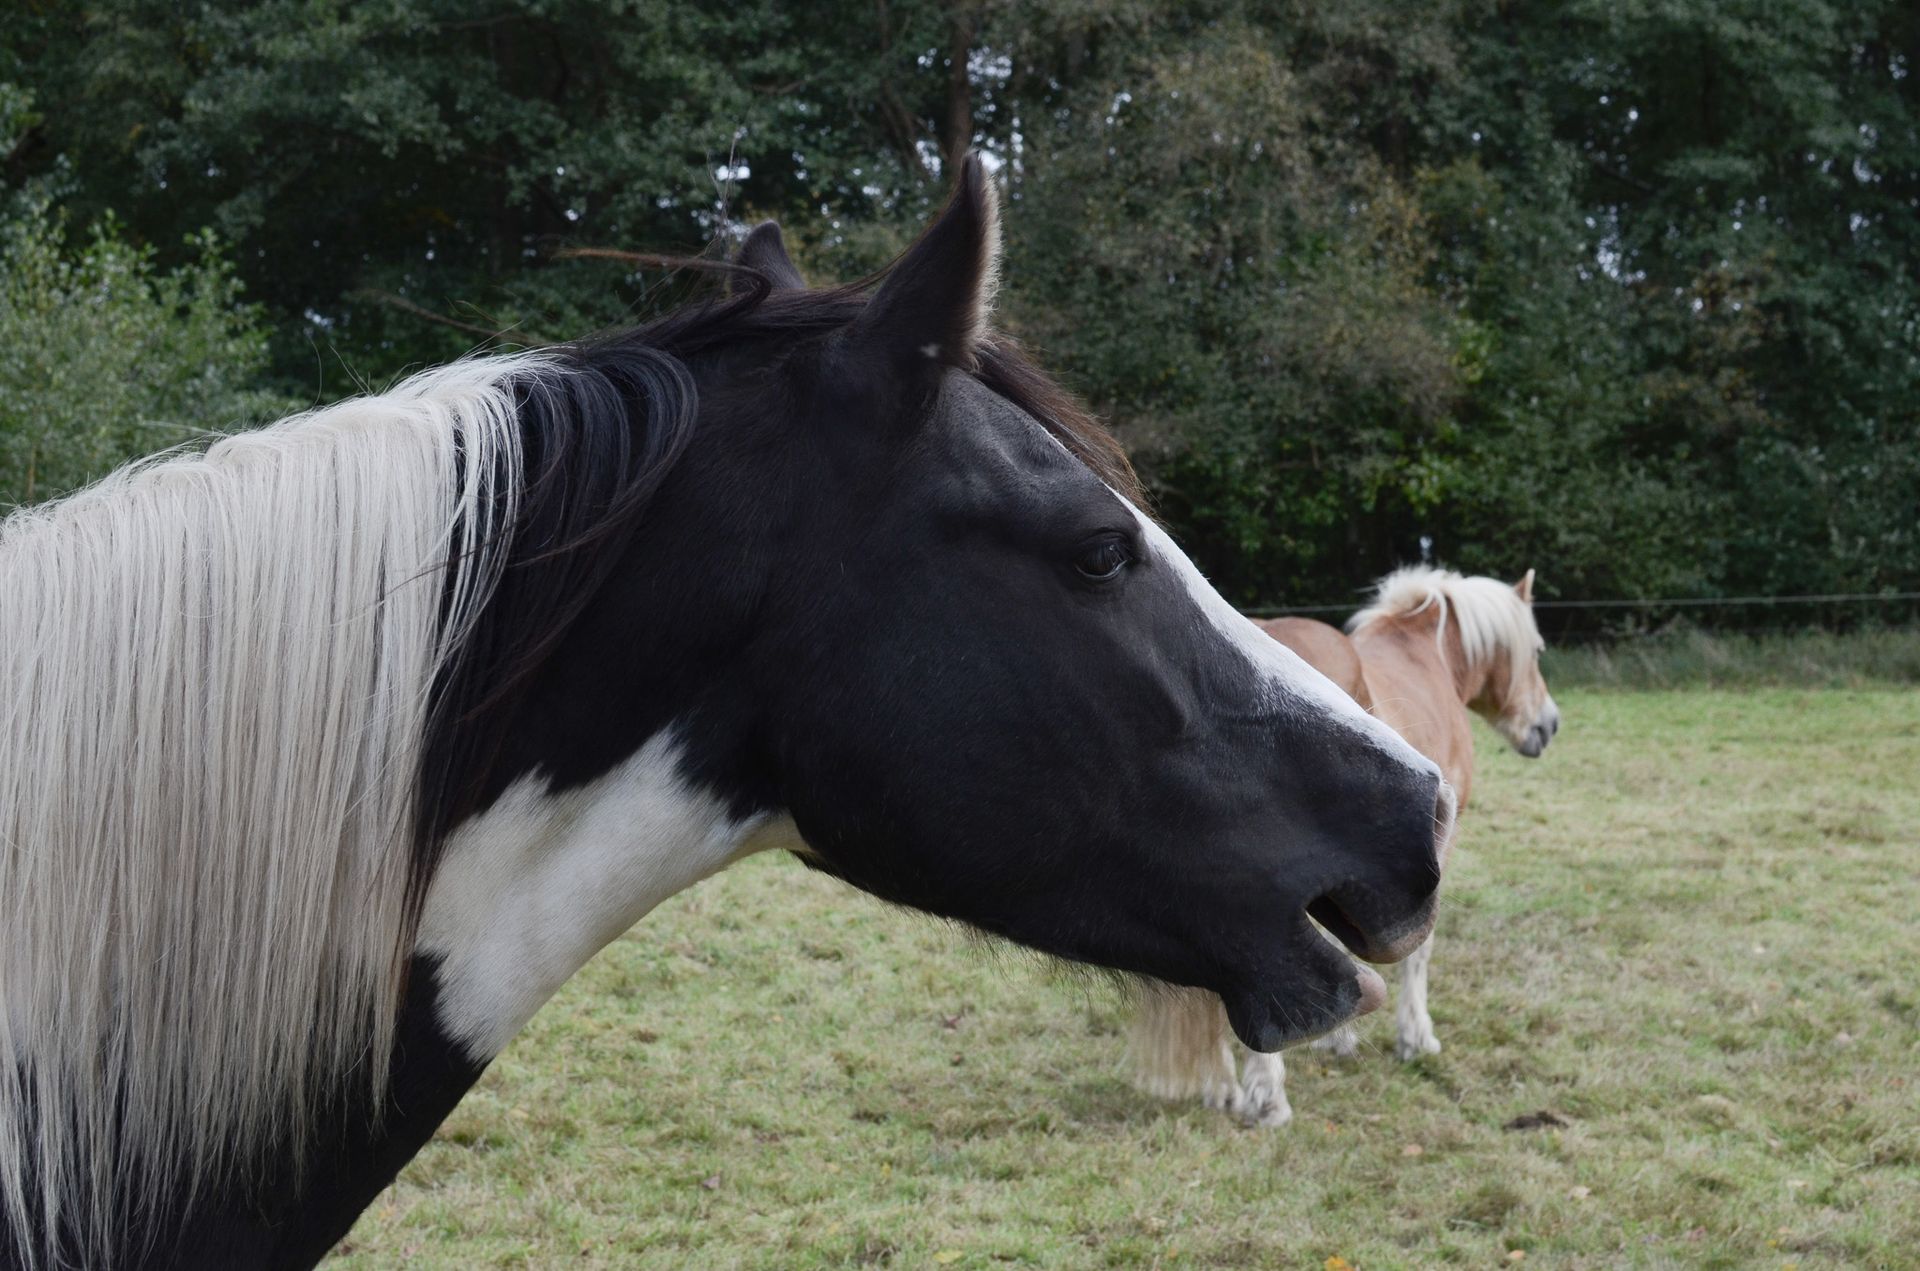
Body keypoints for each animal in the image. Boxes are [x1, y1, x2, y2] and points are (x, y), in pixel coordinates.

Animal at [1130, 566, 1558, 1127]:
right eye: (1536, 649)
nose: (1548, 725)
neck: (1429, 658)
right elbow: (1418, 952)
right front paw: (1415, 1037)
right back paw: (1266, 1095)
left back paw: (1223, 1089)